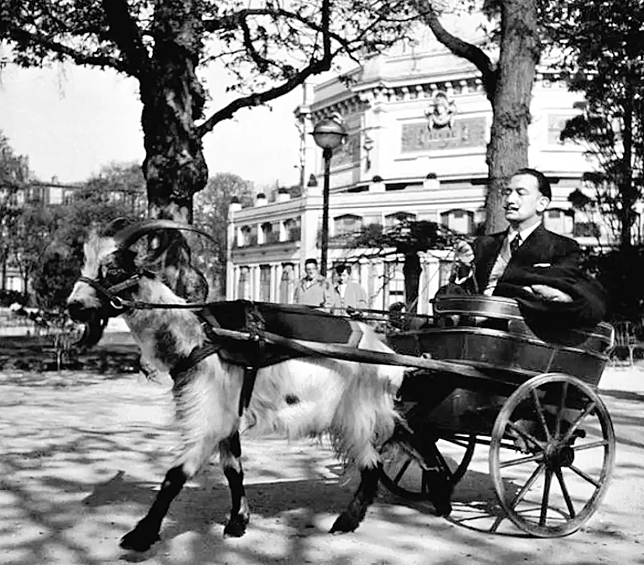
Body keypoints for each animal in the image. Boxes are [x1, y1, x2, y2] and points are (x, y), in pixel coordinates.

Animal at [66, 220, 408, 552]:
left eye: (113, 269)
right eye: (85, 262)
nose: (74, 306)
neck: (199, 335)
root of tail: (386, 353)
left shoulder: (210, 414)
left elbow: (175, 475)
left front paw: (141, 535)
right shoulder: (227, 414)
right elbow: (233, 469)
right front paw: (237, 522)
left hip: (357, 413)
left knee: (372, 465)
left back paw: (346, 522)